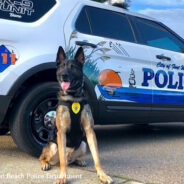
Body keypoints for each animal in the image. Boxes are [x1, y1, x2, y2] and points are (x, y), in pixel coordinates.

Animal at [39, 46, 113, 184]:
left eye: (73, 67)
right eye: (62, 66)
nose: (64, 75)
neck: (73, 97)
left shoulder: (89, 131)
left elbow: (97, 158)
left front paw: (102, 175)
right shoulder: (61, 132)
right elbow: (62, 162)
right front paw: (63, 177)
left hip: (83, 145)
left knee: (70, 160)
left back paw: (79, 161)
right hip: (53, 146)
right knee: (46, 157)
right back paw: (45, 164)